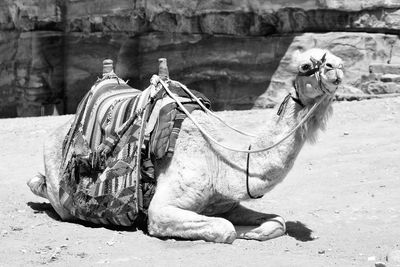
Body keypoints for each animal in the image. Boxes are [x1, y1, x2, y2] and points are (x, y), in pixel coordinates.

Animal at [27, 48, 344, 245]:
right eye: (306, 66)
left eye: (337, 60)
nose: (337, 68)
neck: (220, 160)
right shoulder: (162, 211)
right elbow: (225, 229)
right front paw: (241, 231)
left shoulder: (225, 202)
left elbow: (278, 221)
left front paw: (253, 231)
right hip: (62, 193)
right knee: (48, 192)